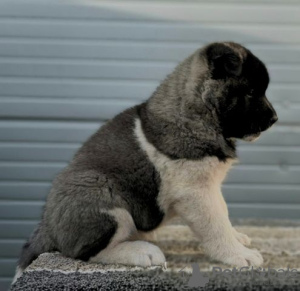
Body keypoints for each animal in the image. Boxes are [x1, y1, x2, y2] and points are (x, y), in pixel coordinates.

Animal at [13, 41, 276, 282]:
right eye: (251, 92)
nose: (274, 118)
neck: (198, 113)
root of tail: (47, 225)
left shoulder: (210, 186)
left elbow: (223, 212)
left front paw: (237, 238)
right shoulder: (196, 192)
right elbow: (215, 224)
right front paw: (238, 254)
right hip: (102, 195)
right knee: (83, 252)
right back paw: (141, 251)